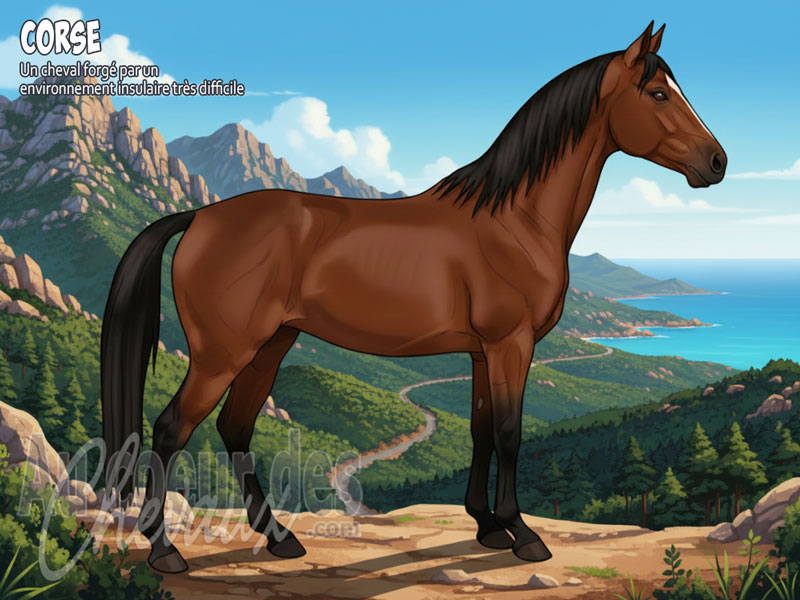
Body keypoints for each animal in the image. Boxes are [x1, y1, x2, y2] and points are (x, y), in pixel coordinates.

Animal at [101, 21, 726, 573]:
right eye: (658, 93)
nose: (717, 162)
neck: (515, 218)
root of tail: (200, 216)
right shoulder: (511, 344)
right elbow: (510, 433)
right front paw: (522, 534)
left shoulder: (482, 351)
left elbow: (480, 430)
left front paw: (487, 526)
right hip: (222, 353)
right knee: (171, 429)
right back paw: (165, 551)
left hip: (271, 345)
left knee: (235, 428)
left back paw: (279, 539)